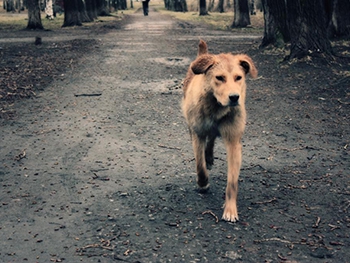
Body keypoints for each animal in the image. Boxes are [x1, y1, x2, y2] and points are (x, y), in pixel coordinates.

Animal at [180, 39, 258, 223]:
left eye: (238, 78)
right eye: (219, 78)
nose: (234, 97)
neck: (216, 108)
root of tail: (203, 55)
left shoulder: (234, 141)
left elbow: (232, 182)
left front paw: (230, 209)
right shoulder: (198, 133)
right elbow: (199, 165)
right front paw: (203, 183)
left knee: (212, 138)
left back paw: (209, 155)